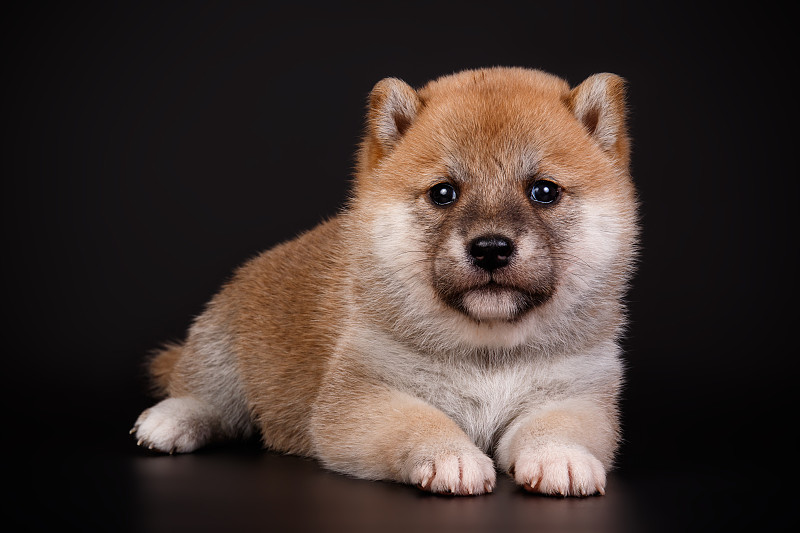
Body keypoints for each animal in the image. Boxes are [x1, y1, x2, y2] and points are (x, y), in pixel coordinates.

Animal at [134, 65, 640, 494]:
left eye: (544, 191)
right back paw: (169, 420)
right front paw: (450, 456)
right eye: (443, 193)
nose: (491, 248)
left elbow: (557, 427)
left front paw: (560, 457)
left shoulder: (578, 394)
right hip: (221, 347)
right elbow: (419, 422)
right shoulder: (364, 397)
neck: (488, 352)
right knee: (201, 392)